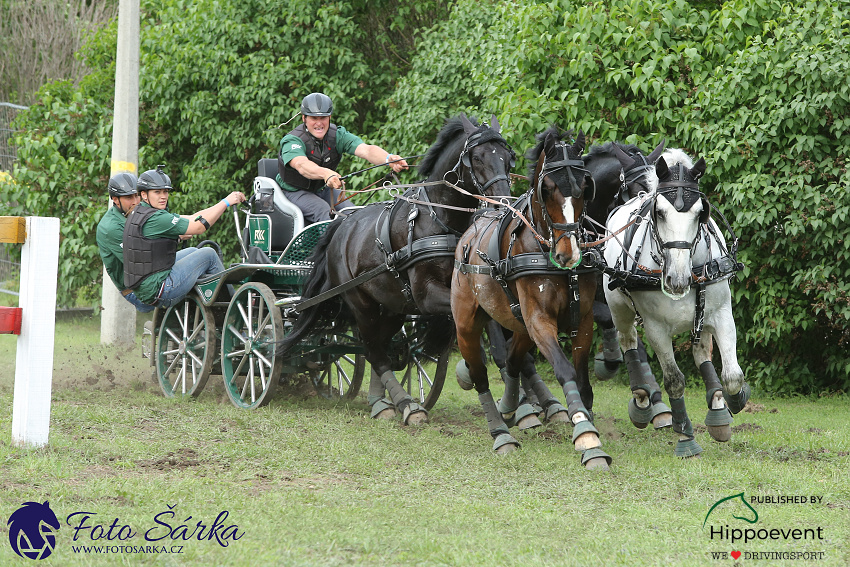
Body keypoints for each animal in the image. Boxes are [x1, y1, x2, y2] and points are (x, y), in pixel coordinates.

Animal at [278, 115, 512, 424]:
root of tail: (341, 224)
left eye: (508, 157)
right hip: (361, 303)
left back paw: (383, 401)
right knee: (373, 350)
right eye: (476, 157)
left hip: (392, 305)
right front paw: (470, 373)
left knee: (381, 346)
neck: (439, 219)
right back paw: (404, 405)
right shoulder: (427, 296)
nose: (505, 202)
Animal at [450, 129, 608, 470]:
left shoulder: (582, 319)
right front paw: (586, 436)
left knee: (512, 360)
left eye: (585, 187)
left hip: (520, 324)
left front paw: (585, 420)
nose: (567, 254)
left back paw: (511, 408)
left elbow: (581, 378)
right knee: (480, 375)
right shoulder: (540, 320)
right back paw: (500, 433)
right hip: (467, 325)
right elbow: (564, 370)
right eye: (546, 188)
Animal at [600, 150, 744, 458]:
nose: (677, 280)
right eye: (659, 212)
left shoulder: (722, 314)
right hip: (619, 308)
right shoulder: (655, 329)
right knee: (628, 341)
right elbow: (674, 381)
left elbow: (732, 375)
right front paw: (685, 437)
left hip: (701, 318)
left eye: (701, 212)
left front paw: (735, 400)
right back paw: (642, 401)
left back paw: (718, 409)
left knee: (702, 352)